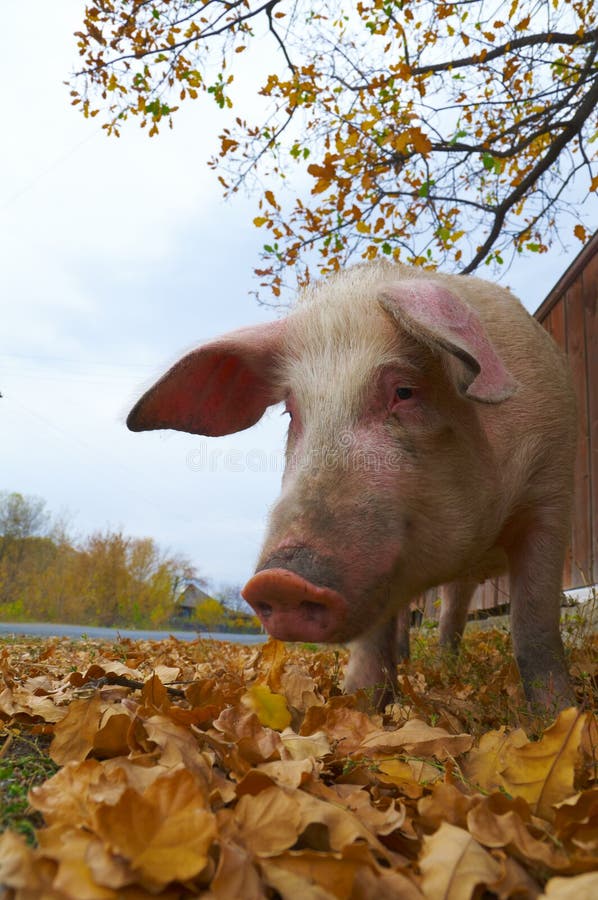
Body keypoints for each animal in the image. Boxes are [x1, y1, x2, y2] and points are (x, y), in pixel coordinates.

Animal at [129, 264, 580, 712]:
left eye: (404, 390)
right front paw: (357, 706)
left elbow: (534, 622)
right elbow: (373, 639)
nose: (280, 579)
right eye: (290, 411)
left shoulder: (553, 492)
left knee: (453, 611)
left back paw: (447, 665)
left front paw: (559, 715)